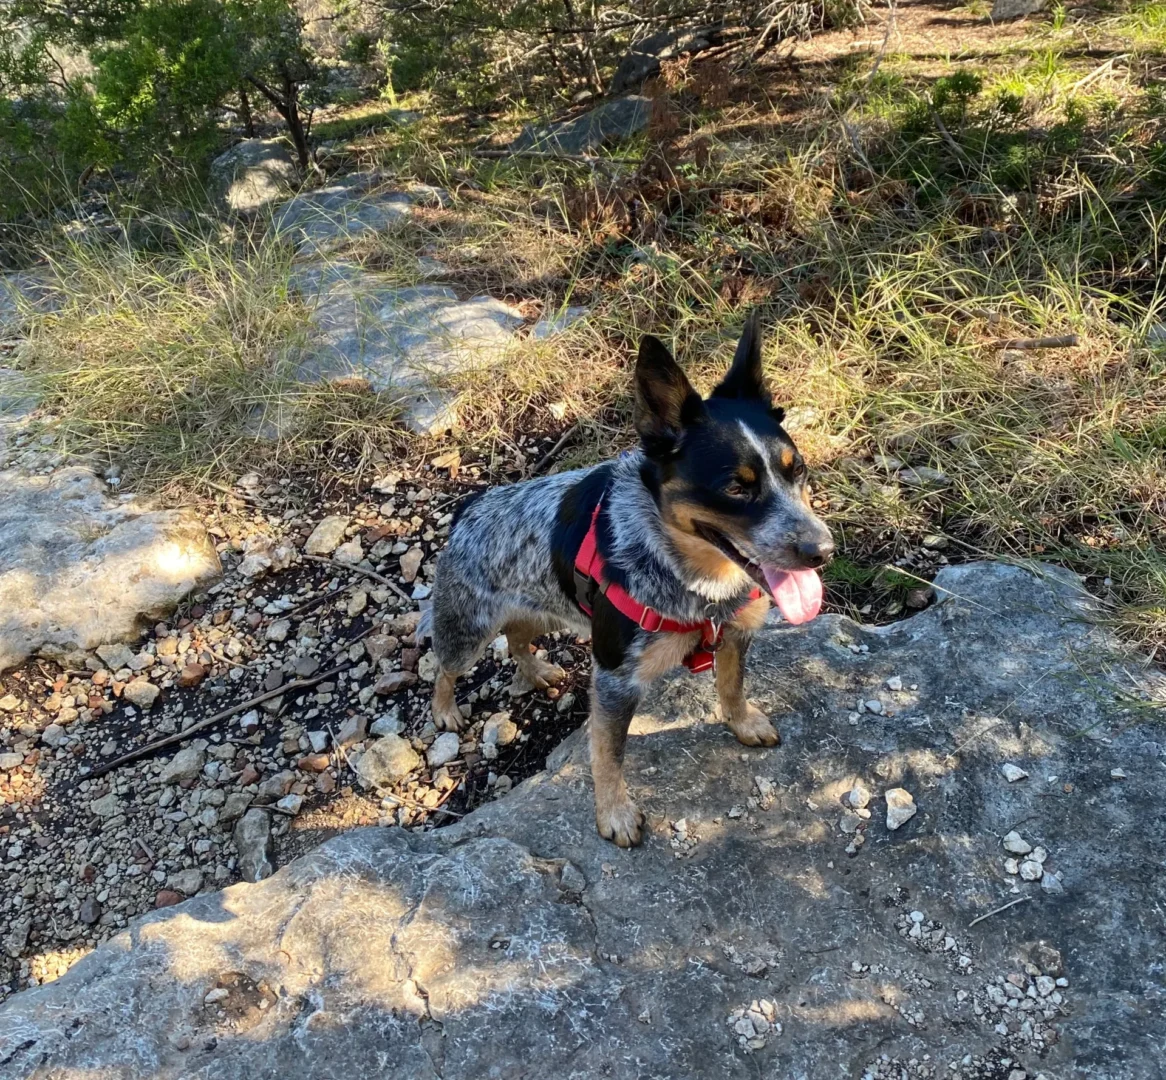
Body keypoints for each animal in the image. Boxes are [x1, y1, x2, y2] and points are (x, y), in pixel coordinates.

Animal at [424, 317, 834, 849]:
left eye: (797, 469)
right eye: (735, 488)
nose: (823, 550)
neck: (697, 581)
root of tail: (468, 508)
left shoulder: (736, 632)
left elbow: (732, 685)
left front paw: (743, 722)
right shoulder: (616, 679)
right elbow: (608, 755)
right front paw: (614, 814)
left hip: (544, 607)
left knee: (517, 637)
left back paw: (536, 671)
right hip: (469, 628)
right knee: (446, 666)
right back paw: (445, 710)